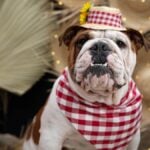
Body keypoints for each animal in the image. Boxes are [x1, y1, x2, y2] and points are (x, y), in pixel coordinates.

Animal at [22, 5, 149, 150]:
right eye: (81, 41)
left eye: (120, 43)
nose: (100, 46)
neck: (101, 101)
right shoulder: (51, 137)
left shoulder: (133, 140)